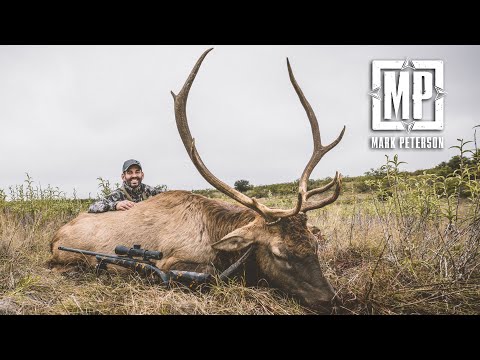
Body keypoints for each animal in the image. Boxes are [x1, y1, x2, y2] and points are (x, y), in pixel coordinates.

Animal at [49, 49, 344, 314]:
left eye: (314, 245)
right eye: (280, 253)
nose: (329, 299)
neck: (217, 232)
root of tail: (55, 236)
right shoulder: (172, 262)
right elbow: (209, 275)